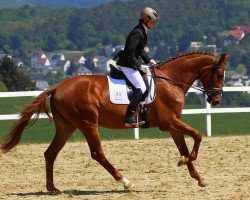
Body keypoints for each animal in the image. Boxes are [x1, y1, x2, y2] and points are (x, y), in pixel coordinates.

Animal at [0, 51, 229, 194]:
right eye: (218, 73)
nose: (216, 100)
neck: (171, 81)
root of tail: (58, 87)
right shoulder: (168, 122)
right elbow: (197, 135)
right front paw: (185, 161)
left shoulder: (173, 125)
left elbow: (184, 146)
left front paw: (199, 177)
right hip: (88, 123)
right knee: (97, 153)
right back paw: (125, 181)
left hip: (67, 126)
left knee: (50, 153)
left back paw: (53, 189)